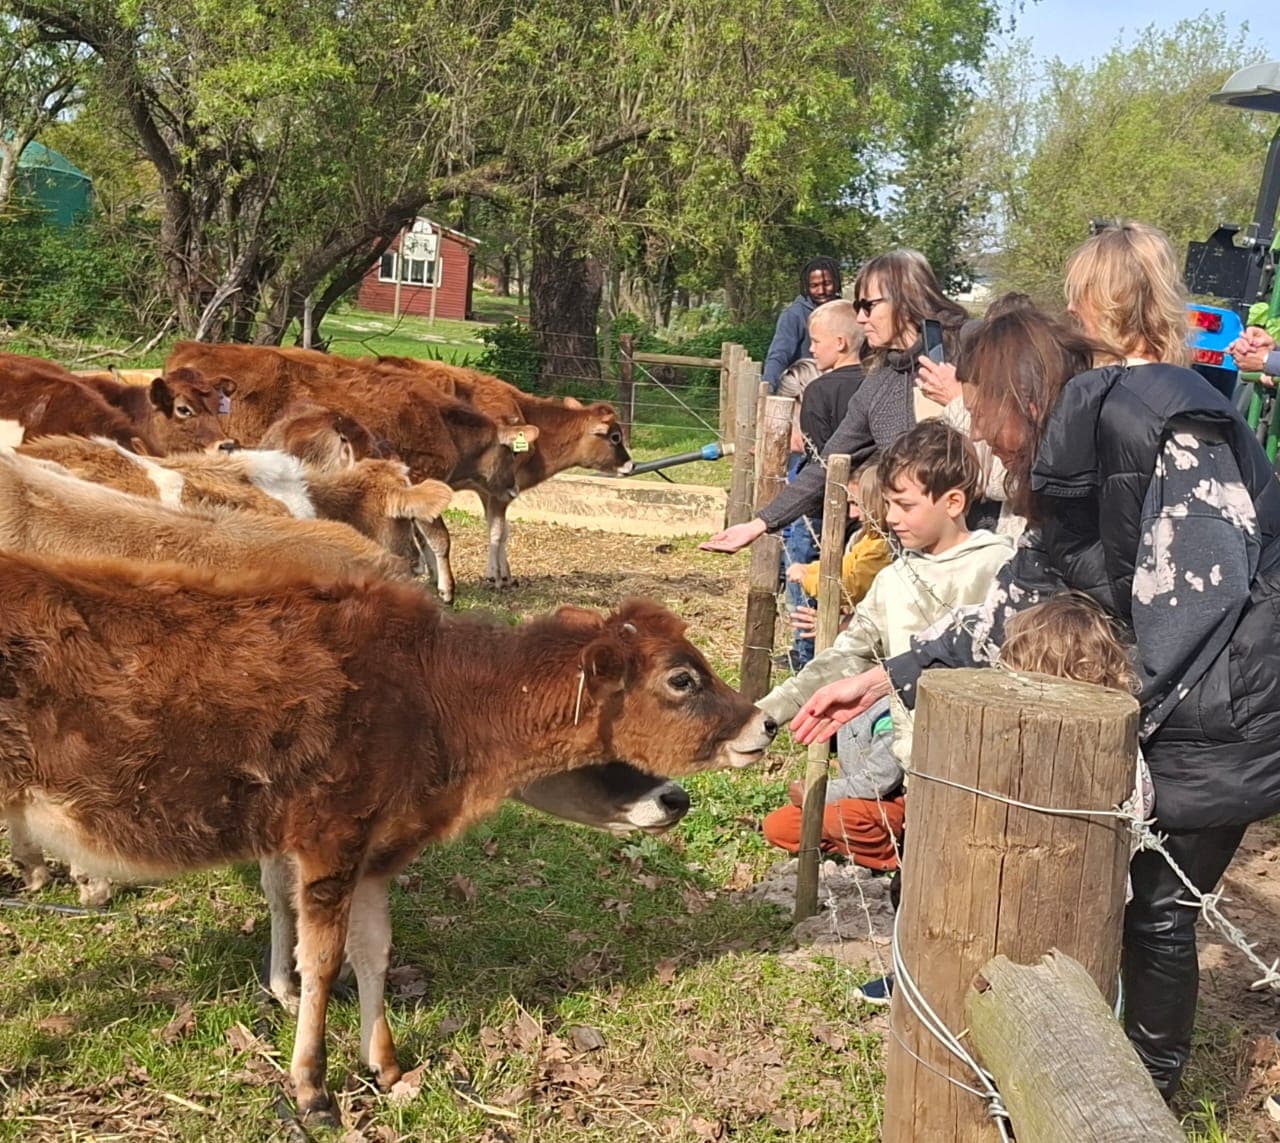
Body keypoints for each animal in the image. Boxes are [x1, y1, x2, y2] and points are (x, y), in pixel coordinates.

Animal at [0, 551, 775, 1122]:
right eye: (683, 678)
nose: (764, 721)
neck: (430, 695)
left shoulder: (377, 852)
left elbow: (373, 953)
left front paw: (387, 1063)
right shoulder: (329, 837)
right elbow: (321, 962)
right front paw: (312, 1089)